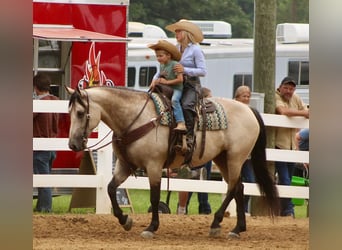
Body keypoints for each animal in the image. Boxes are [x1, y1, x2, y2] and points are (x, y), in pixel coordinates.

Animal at [67, 86, 278, 238]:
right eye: (69, 112)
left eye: (80, 113)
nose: (73, 144)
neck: (136, 119)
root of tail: (250, 109)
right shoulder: (125, 165)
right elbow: (111, 189)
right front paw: (125, 220)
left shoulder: (153, 166)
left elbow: (154, 197)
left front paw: (151, 227)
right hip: (222, 158)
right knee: (238, 188)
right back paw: (236, 228)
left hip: (236, 157)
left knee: (233, 187)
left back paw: (218, 224)